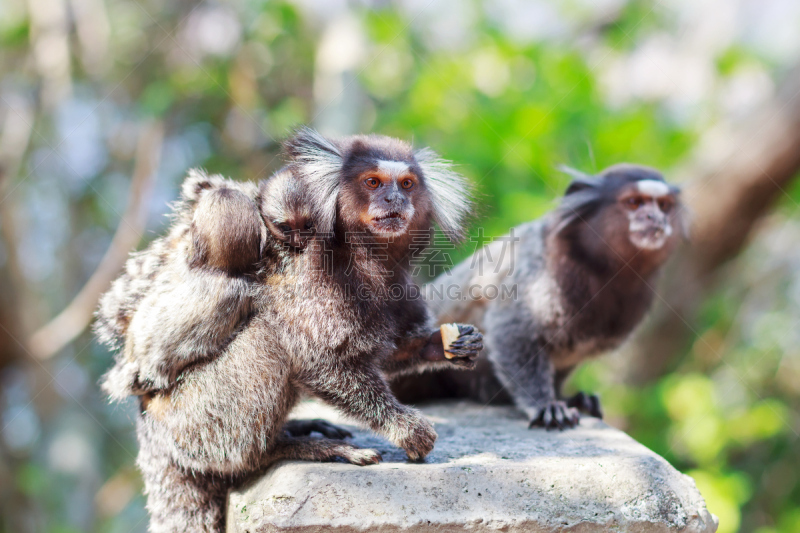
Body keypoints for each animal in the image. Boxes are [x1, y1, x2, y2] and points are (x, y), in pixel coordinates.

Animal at [94, 129, 482, 532]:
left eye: (407, 184)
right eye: (373, 182)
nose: (394, 199)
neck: (366, 257)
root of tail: (149, 426)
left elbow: (388, 355)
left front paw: (447, 345)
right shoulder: (314, 279)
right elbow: (320, 361)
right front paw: (406, 427)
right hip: (191, 418)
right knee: (266, 343)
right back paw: (284, 449)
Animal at [400, 164, 688, 430]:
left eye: (664, 206)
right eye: (634, 203)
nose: (654, 217)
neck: (601, 271)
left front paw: (570, 398)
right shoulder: (537, 277)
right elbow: (513, 334)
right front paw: (546, 404)